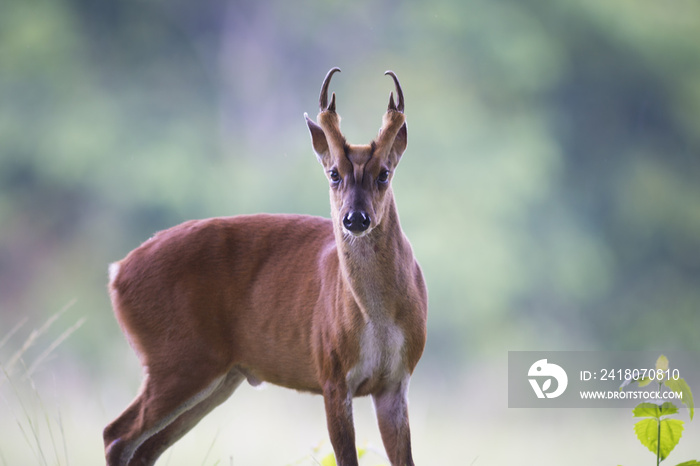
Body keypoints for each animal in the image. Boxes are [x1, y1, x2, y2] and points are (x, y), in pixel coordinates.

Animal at [103, 66, 426, 466]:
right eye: (334, 173)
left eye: (384, 173)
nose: (355, 219)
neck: (377, 319)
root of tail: (117, 273)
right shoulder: (331, 373)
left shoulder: (396, 382)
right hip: (175, 358)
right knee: (116, 434)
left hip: (215, 377)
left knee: (144, 448)